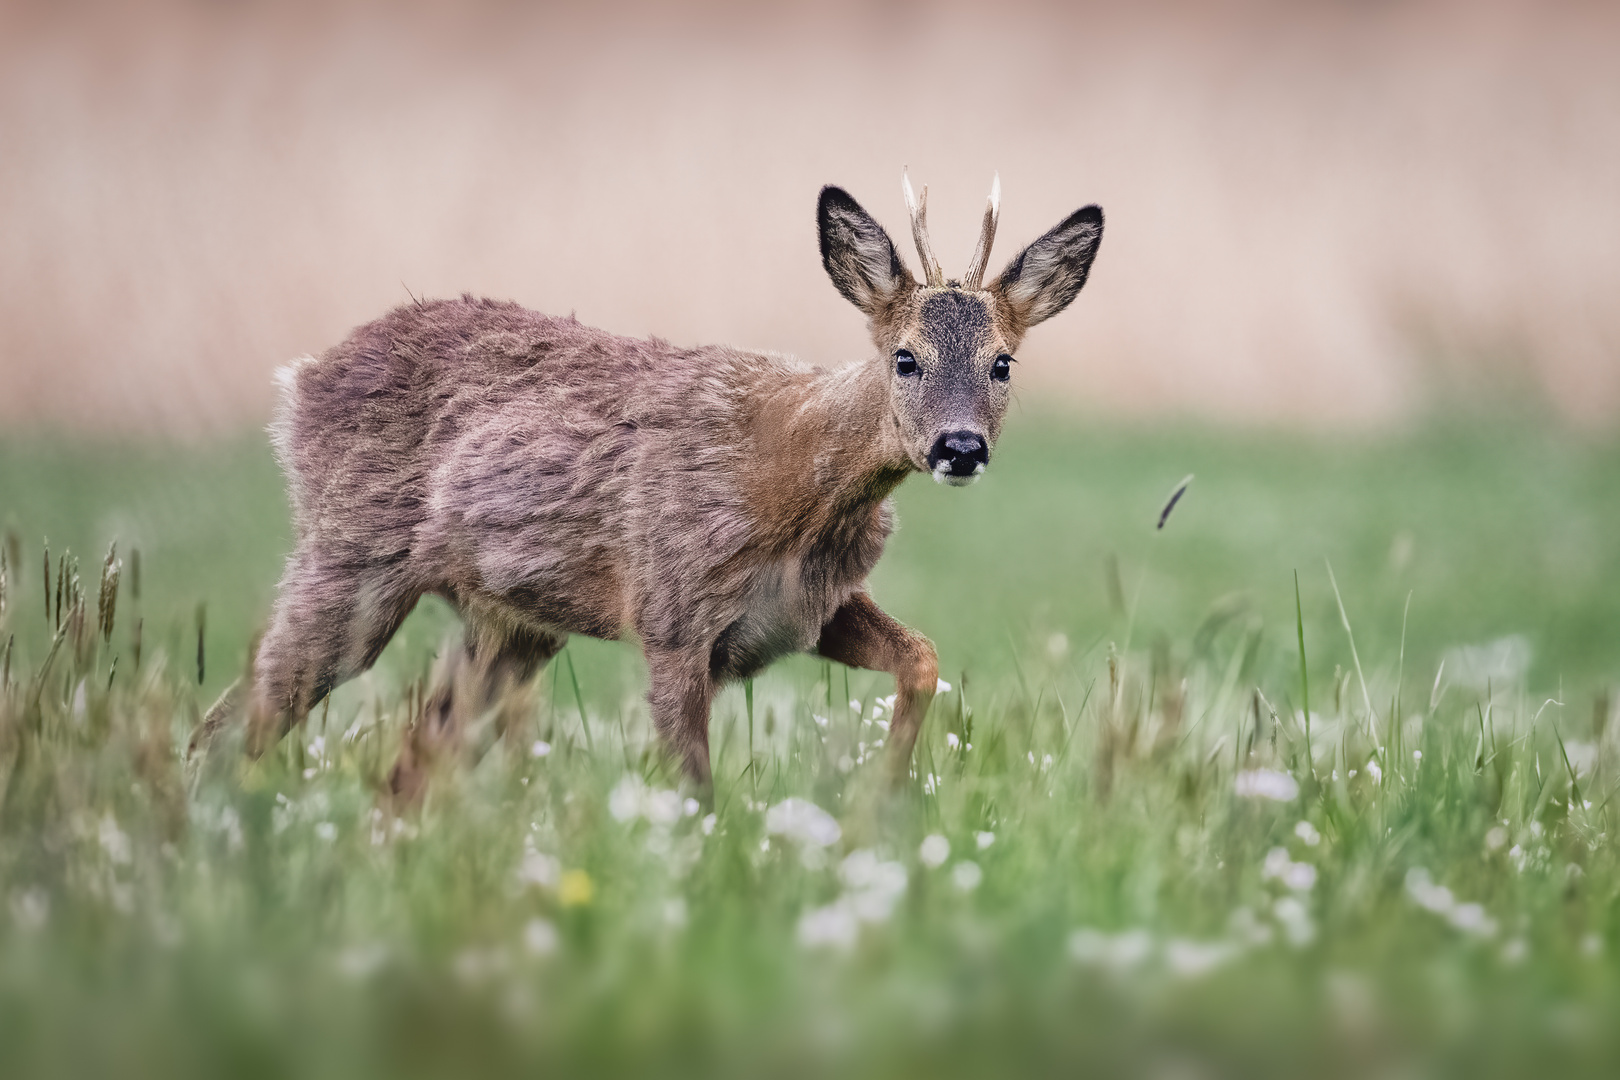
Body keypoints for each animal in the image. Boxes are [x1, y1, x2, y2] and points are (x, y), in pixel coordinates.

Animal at [205, 169, 1101, 793]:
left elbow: (921, 657)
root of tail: (298, 383)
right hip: (351, 558)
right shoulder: (671, 612)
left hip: (508, 625)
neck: (798, 488)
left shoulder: (806, 609)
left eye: (1003, 362)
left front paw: (878, 802)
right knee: (232, 720)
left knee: (408, 764)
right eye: (905, 358)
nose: (960, 447)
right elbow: (693, 787)